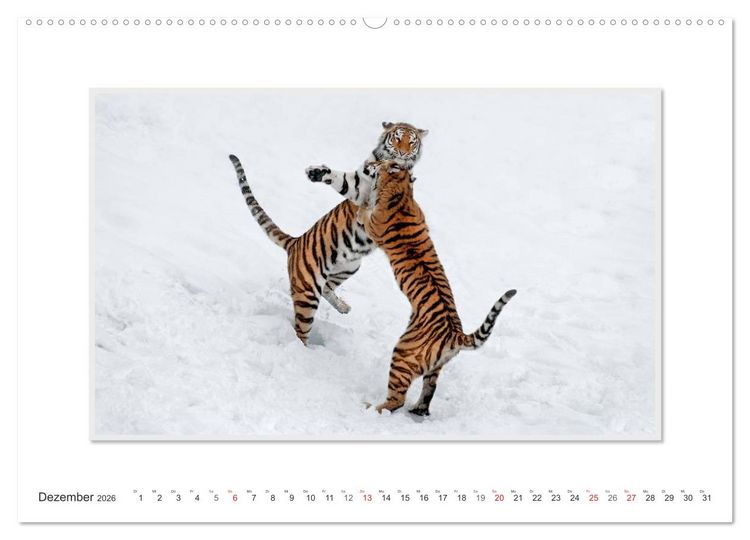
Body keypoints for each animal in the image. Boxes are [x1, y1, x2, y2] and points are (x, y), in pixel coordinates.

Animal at [229, 121, 428, 345]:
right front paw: (316, 173)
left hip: (350, 266)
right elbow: (344, 181)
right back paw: (305, 349)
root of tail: (295, 242)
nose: (403, 153)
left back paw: (343, 307)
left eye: (412, 142)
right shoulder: (359, 187)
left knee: (326, 288)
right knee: (301, 329)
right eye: (397, 138)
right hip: (307, 291)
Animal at [307, 159, 516, 416]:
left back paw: (371, 408)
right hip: (434, 368)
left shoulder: (373, 225)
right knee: (428, 392)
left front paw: (361, 208)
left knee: (396, 400)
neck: (401, 193)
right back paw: (417, 410)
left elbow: (365, 212)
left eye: (380, 163)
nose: (370, 163)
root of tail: (456, 335)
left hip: (403, 353)